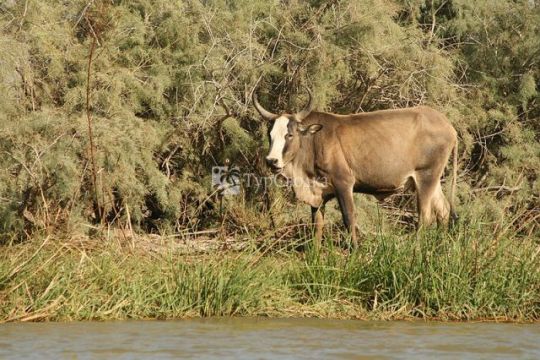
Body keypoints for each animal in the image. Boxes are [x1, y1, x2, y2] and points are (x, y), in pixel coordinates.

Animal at [252, 89, 456, 249]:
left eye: (289, 135)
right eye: (270, 134)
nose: (271, 161)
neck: (314, 141)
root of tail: (447, 125)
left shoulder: (343, 184)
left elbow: (349, 218)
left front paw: (355, 252)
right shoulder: (319, 192)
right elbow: (317, 224)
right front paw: (314, 255)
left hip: (426, 177)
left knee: (425, 216)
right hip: (433, 181)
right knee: (444, 211)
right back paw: (440, 247)